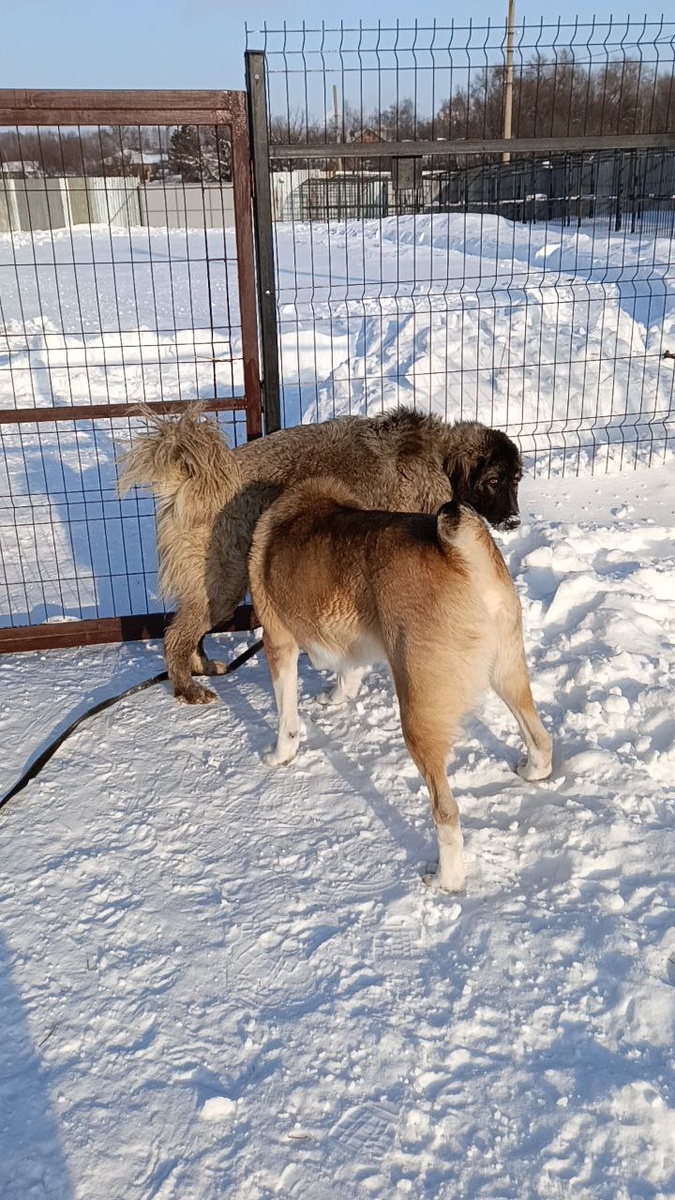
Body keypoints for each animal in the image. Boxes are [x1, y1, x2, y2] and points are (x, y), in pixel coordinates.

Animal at [118, 405, 522, 705]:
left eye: (515, 481)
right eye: (493, 481)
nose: (516, 521)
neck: (437, 457)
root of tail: (189, 481)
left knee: (186, 631)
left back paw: (202, 667)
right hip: (223, 585)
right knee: (176, 636)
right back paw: (186, 688)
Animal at [248, 480, 551, 892]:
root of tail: (460, 554)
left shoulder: (278, 643)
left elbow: (286, 719)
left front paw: (280, 756)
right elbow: (348, 672)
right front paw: (336, 696)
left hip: (416, 716)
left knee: (446, 812)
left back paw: (445, 879)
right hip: (508, 674)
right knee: (540, 739)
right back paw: (533, 770)